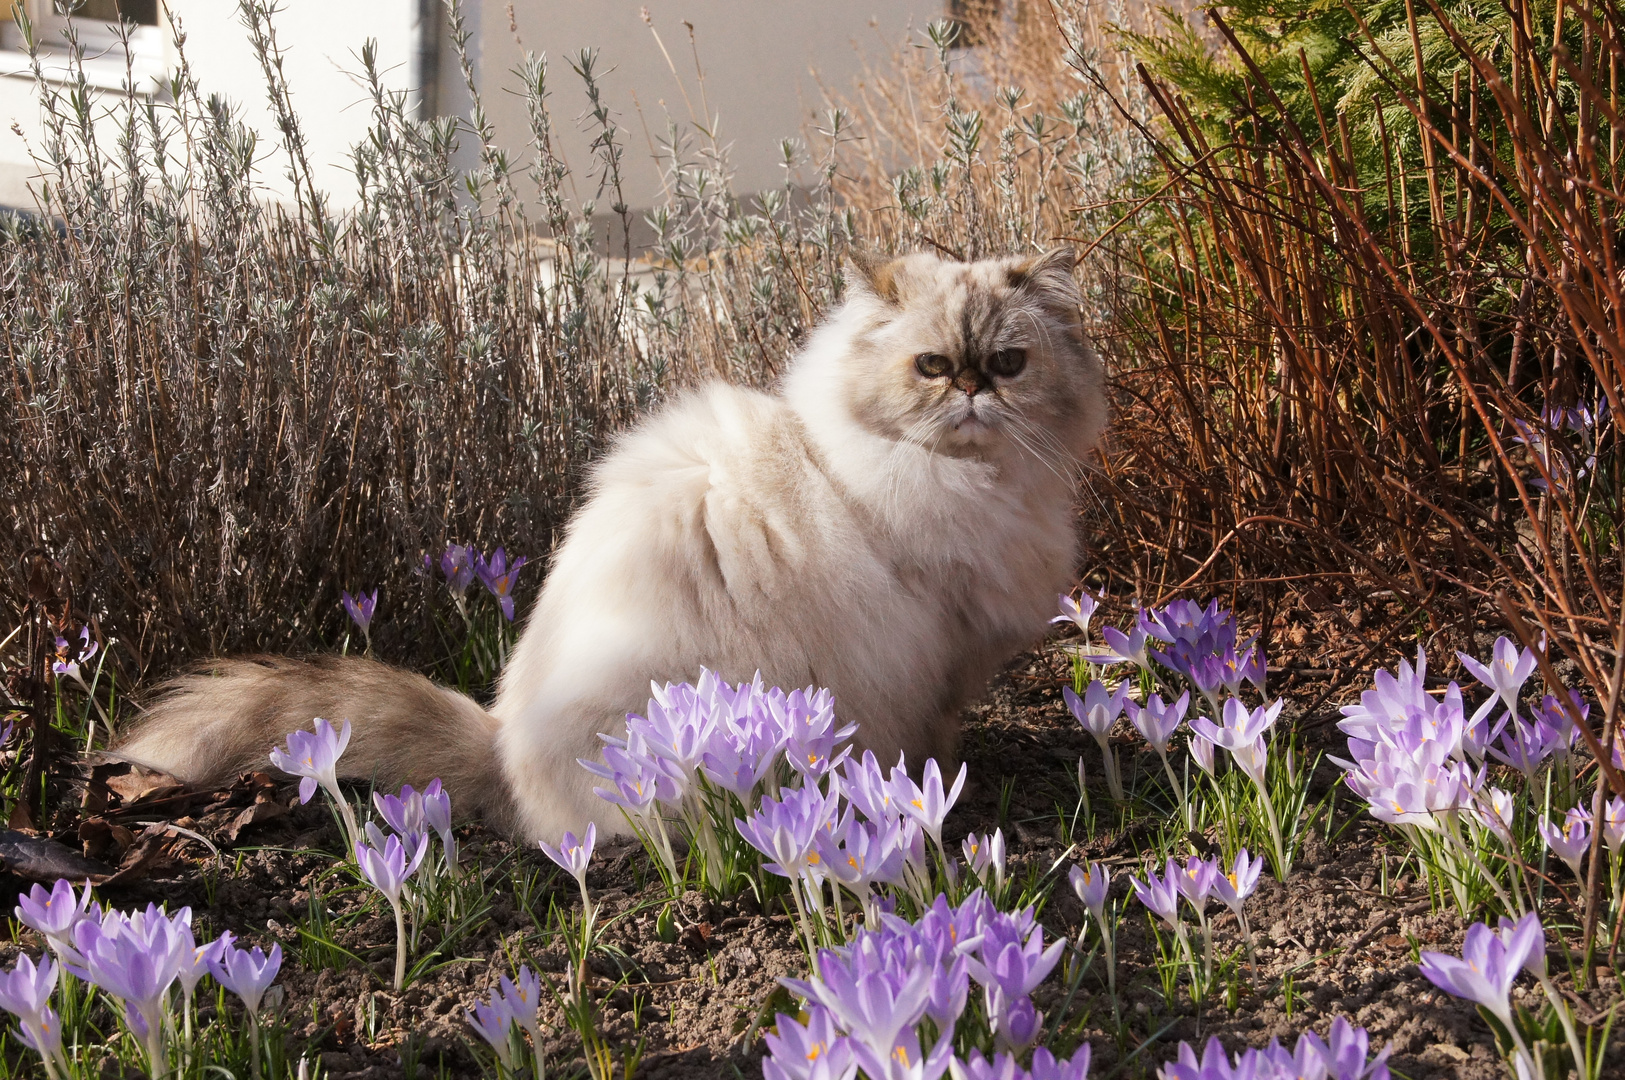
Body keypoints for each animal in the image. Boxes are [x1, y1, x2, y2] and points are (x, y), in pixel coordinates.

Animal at [114, 248, 1105, 838]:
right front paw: (943, 790)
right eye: (932, 367)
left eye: (1008, 365)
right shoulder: (935, 656)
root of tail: (501, 746)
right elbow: (935, 743)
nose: (974, 389)